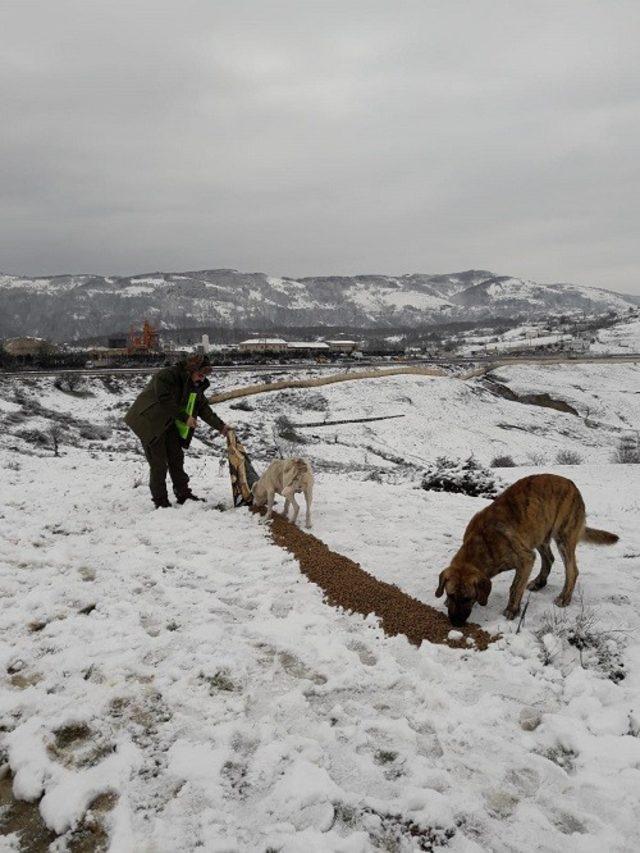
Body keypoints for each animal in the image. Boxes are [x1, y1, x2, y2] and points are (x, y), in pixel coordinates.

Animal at [438, 472, 616, 624]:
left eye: (468, 598)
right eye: (451, 595)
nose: (455, 622)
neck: (482, 542)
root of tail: (572, 485)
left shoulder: (525, 559)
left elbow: (515, 587)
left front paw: (512, 610)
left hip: (563, 537)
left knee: (572, 570)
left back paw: (564, 597)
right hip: (538, 532)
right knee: (549, 559)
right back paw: (539, 582)